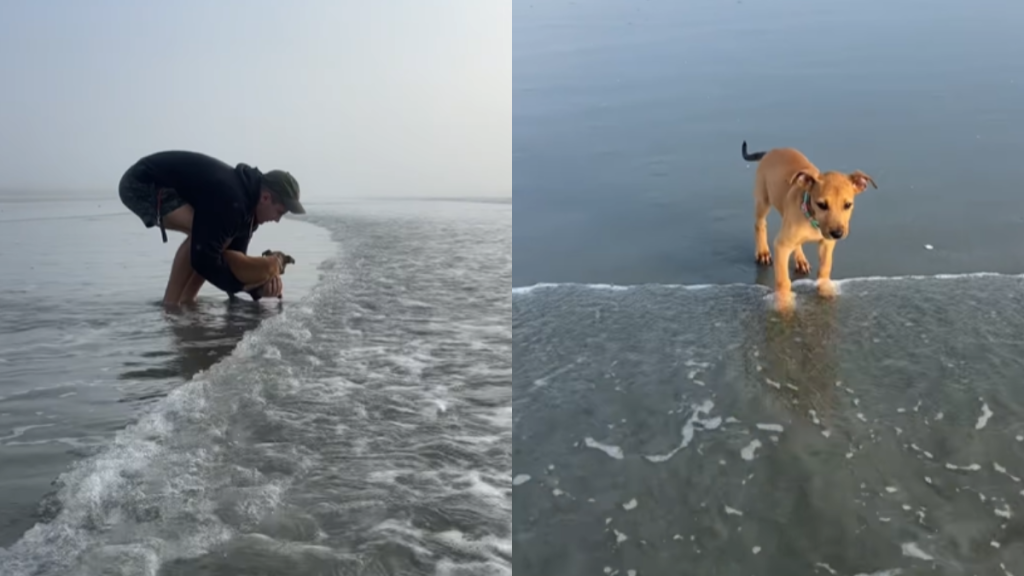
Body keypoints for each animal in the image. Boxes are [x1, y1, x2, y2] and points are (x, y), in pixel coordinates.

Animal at [741, 140, 876, 307]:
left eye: (848, 205)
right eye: (822, 204)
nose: (837, 233)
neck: (813, 220)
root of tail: (771, 151)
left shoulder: (826, 244)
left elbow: (824, 269)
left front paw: (825, 291)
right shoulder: (781, 245)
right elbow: (783, 280)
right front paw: (784, 303)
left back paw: (800, 259)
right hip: (763, 200)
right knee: (760, 224)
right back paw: (763, 252)